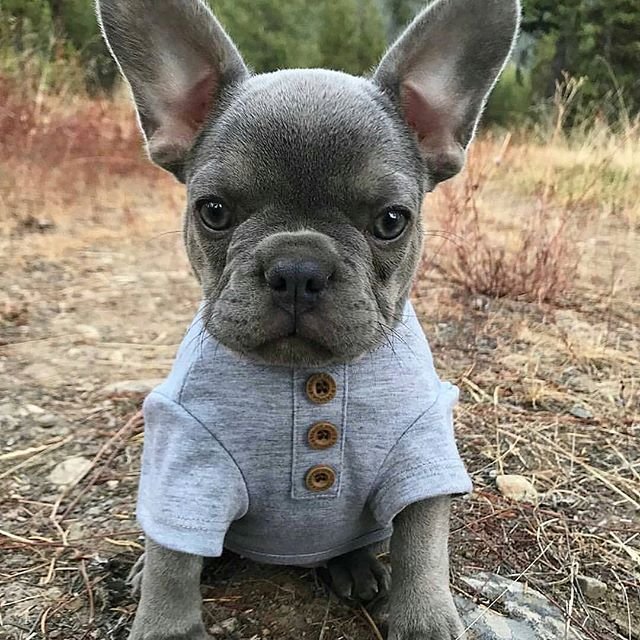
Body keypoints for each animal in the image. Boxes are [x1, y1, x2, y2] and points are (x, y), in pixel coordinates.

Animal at [99, 1, 520, 640]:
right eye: (213, 212)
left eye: (392, 221)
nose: (298, 268)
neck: (307, 375)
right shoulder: (185, 461)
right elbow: (174, 559)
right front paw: (166, 622)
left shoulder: (422, 452)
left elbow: (423, 545)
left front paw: (424, 618)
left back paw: (355, 565)